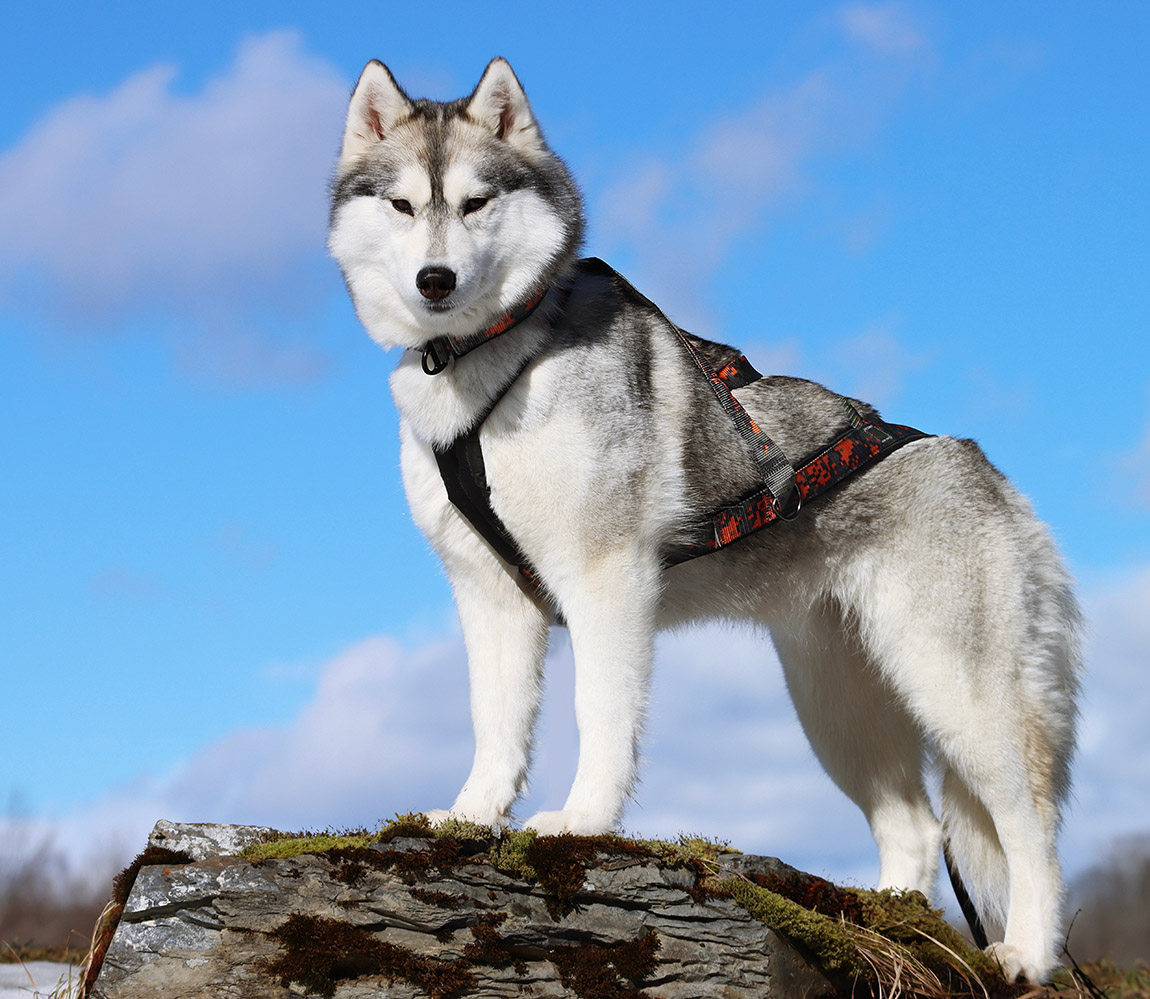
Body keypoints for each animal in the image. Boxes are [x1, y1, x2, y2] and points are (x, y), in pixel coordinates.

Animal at [328, 58, 1081, 979]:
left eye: (475, 203)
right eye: (402, 205)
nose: (434, 280)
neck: (495, 357)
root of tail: (985, 468)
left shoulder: (605, 579)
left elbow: (600, 714)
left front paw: (581, 821)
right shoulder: (490, 596)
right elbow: (494, 723)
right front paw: (472, 815)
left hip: (957, 690)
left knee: (1029, 827)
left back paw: (1027, 951)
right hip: (837, 705)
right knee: (917, 824)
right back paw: (883, 920)